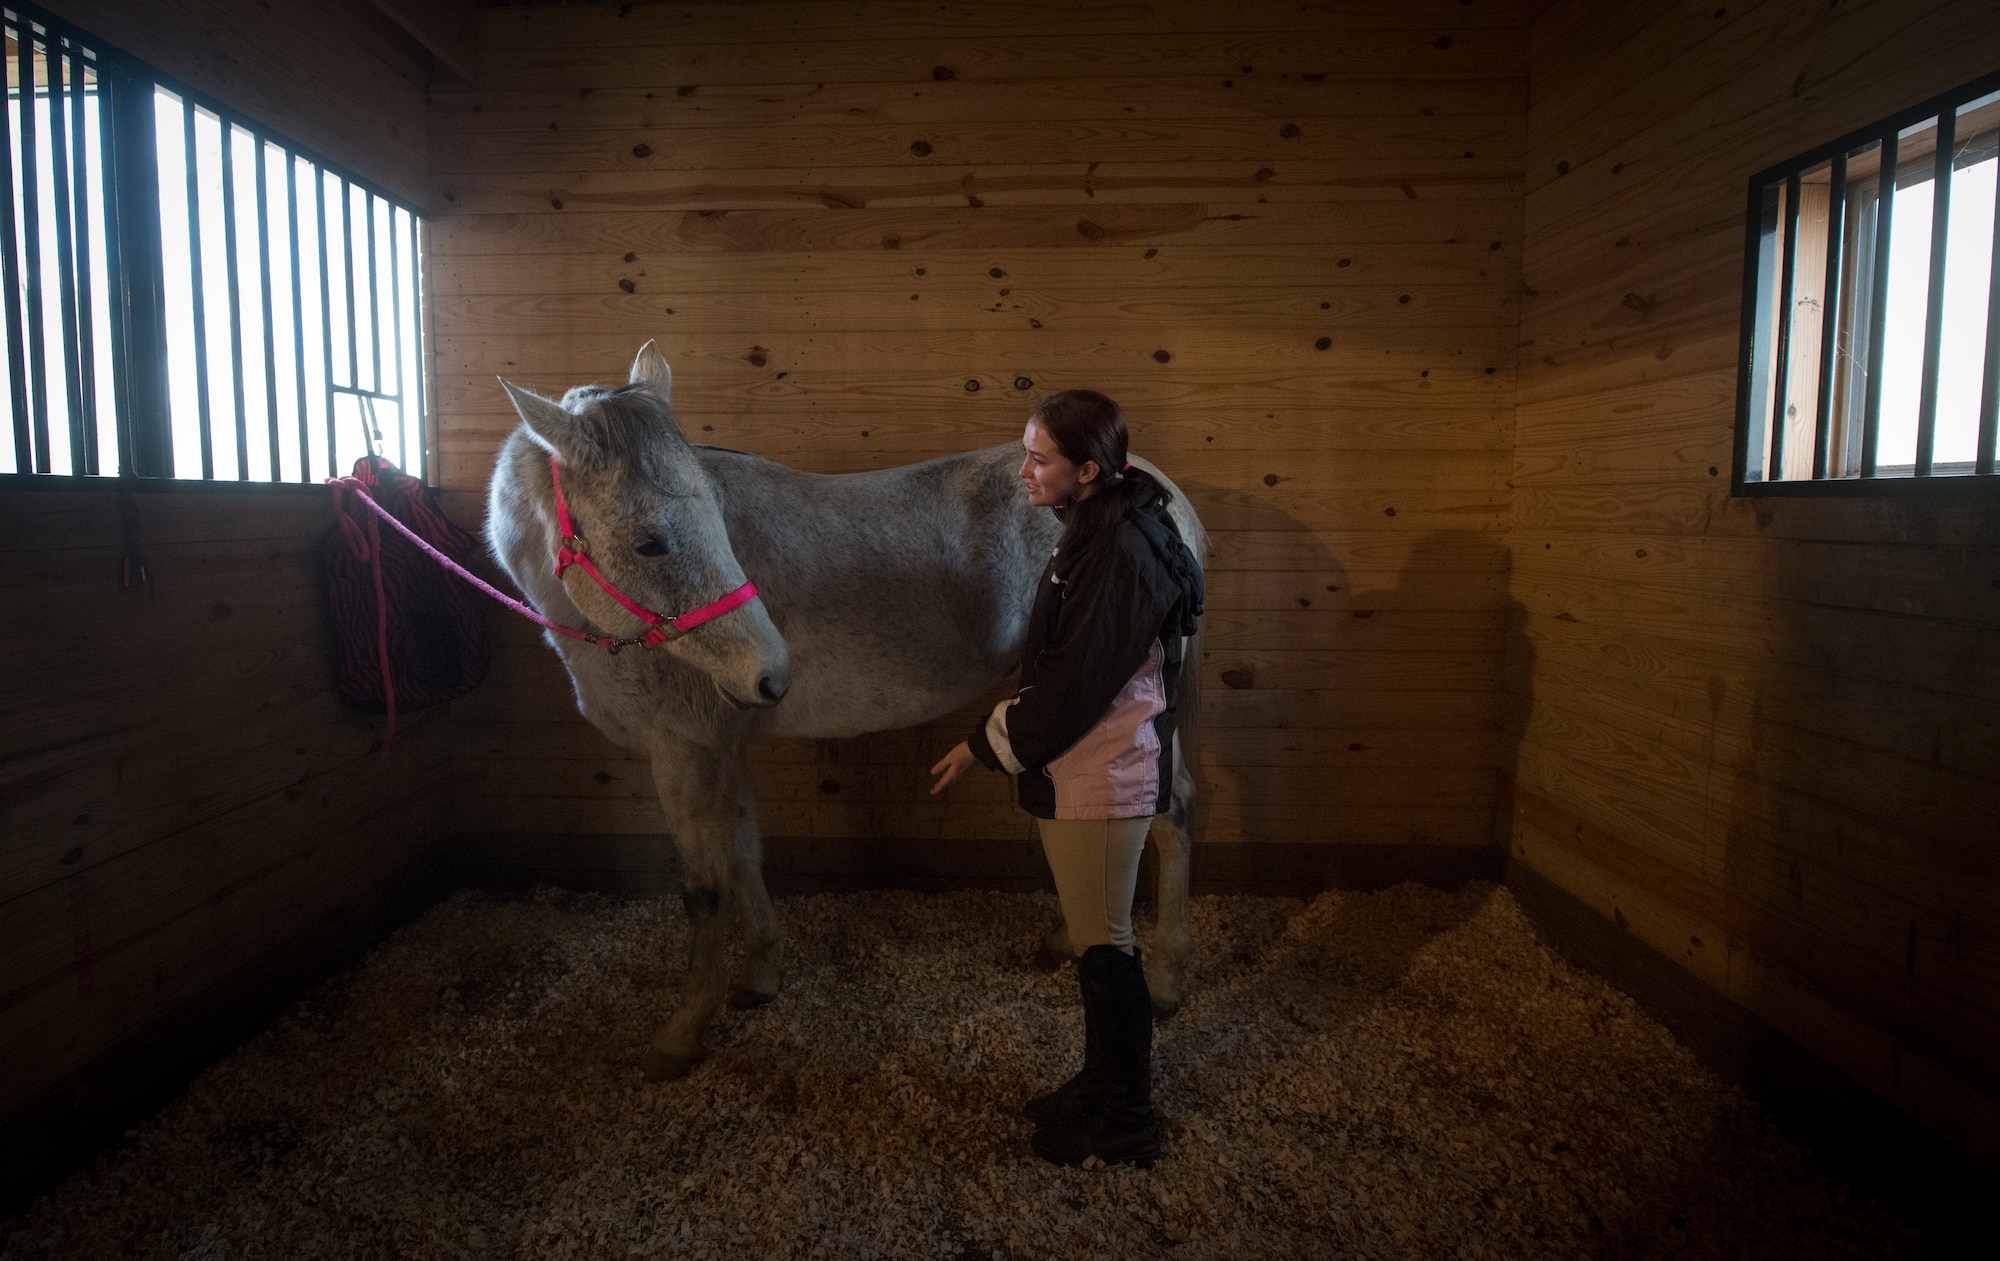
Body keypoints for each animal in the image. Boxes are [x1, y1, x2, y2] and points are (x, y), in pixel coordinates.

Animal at [488, 340, 1200, 1080]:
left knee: (1169, 809)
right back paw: (1068, 938)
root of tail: (1154, 493)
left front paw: (682, 1031)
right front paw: (760, 977)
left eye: (710, 519)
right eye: (649, 542)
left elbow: (703, 889)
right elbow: (744, 854)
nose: (773, 672)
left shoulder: (684, 749)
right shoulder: (724, 746)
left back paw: (1167, 978)